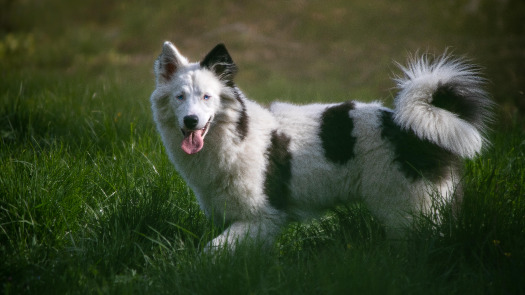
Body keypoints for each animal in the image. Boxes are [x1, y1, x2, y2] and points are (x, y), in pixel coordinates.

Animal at [150, 42, 492, 253]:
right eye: (180, 97)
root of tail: (417, 123)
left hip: (407, 212)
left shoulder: (263, 216)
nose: (191, 121)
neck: (237, 133)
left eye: (207, 96)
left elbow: (211, 251)